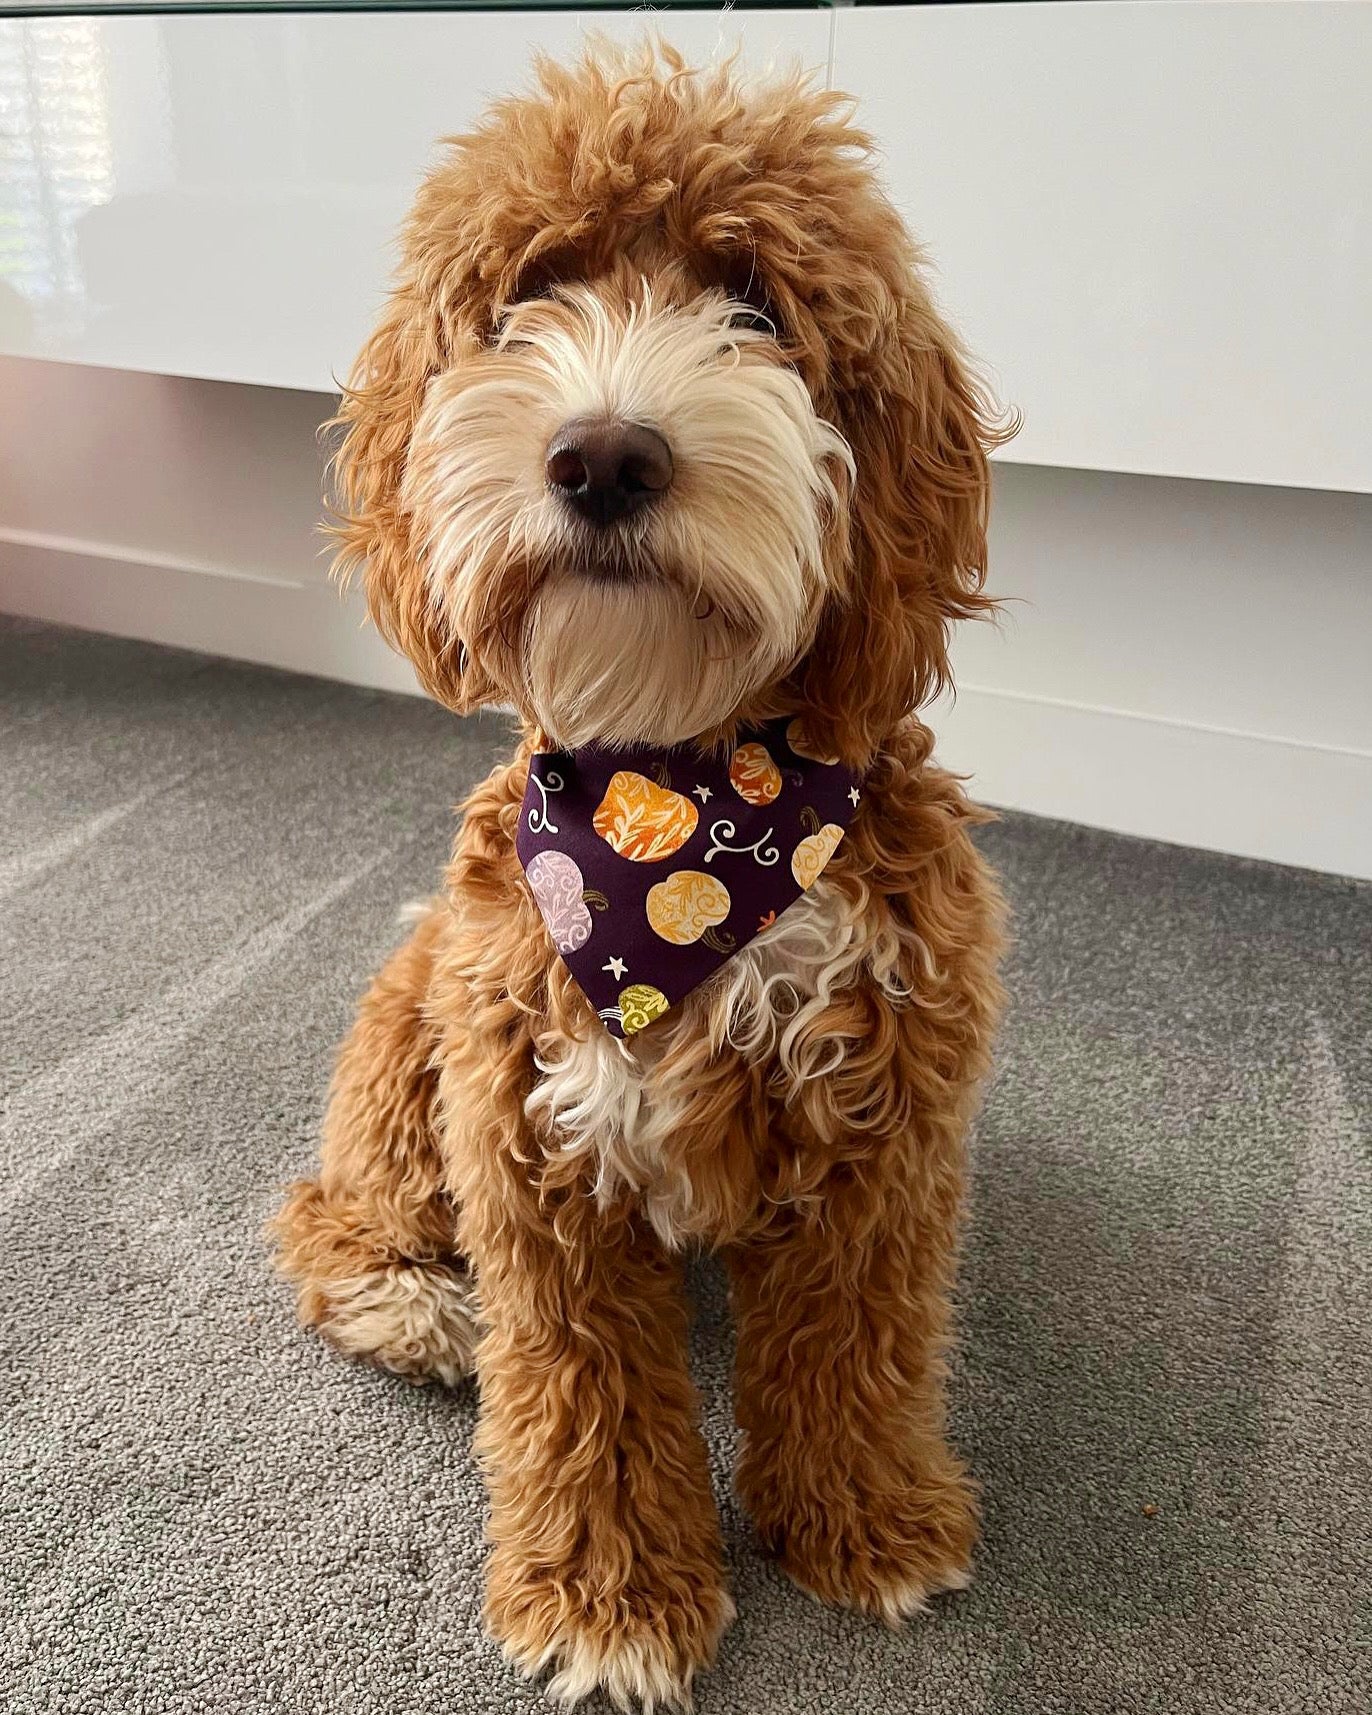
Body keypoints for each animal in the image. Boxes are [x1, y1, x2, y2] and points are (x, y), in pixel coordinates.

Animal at [272, 43, 1015, 1715]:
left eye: (750, 300)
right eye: (530, 293)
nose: (605, 454)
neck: (682, 786)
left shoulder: (885, 1117)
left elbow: (861, 1333)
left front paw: (867, 1518)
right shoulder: (531, 1135)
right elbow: (582, 1385)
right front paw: (609, 1597)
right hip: (413, 1034)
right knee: (325, 1212)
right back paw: (412, 1300)